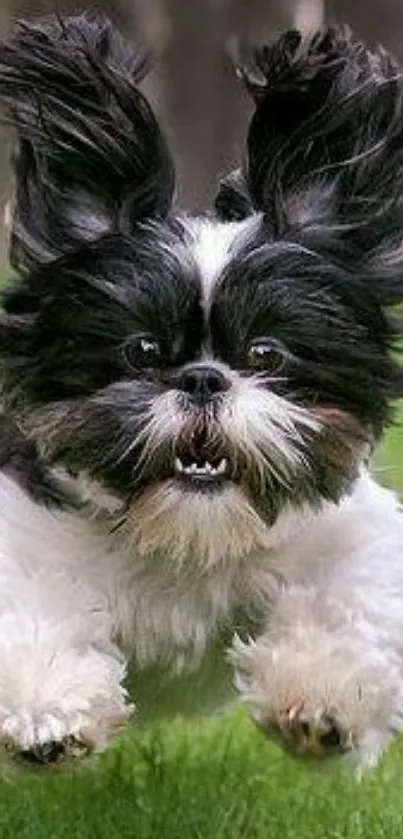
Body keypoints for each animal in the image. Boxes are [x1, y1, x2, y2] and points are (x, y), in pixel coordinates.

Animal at [0, 13, 403, 776]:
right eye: (143, 351)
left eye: (264, 354)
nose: (203, 377)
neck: (188, 535)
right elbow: (28, 612)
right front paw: (48, 709)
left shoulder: (355, 538)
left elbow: (352, 603)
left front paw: (322, 697)